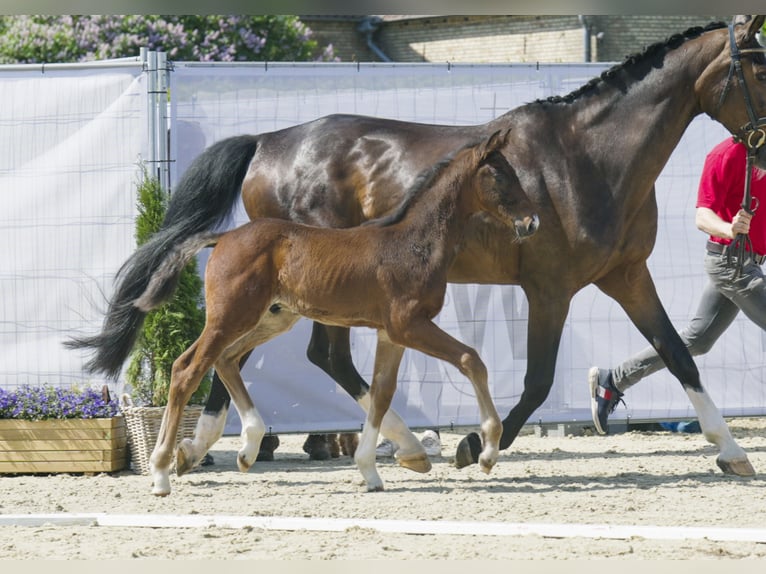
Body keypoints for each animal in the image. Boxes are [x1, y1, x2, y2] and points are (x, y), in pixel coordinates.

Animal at [129, 130, 536, 496]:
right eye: (500, 174)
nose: (532, 222)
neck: (415, 242)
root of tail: (224, 237)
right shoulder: (409, 325)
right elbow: (471, 360)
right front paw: (487, 453)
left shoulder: (390, 333)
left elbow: (382, 393)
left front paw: (371, 471)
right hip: (230, 316)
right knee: (187, 368)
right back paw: (161, 473)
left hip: (274, 316)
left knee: (226, 359)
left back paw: (246, 449)